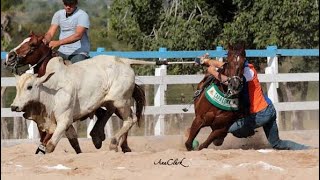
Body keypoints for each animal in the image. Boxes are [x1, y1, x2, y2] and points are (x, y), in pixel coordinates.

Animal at [4, 32, 145, 153]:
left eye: (32, 44)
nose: (9, 56)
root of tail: (125, 61)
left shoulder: (63, 118)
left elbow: (48, 142)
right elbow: (72, 142)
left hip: (120, 101)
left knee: (130, 119)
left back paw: (114, 143)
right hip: (113, 103)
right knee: (116, 115)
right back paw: (111, 142)